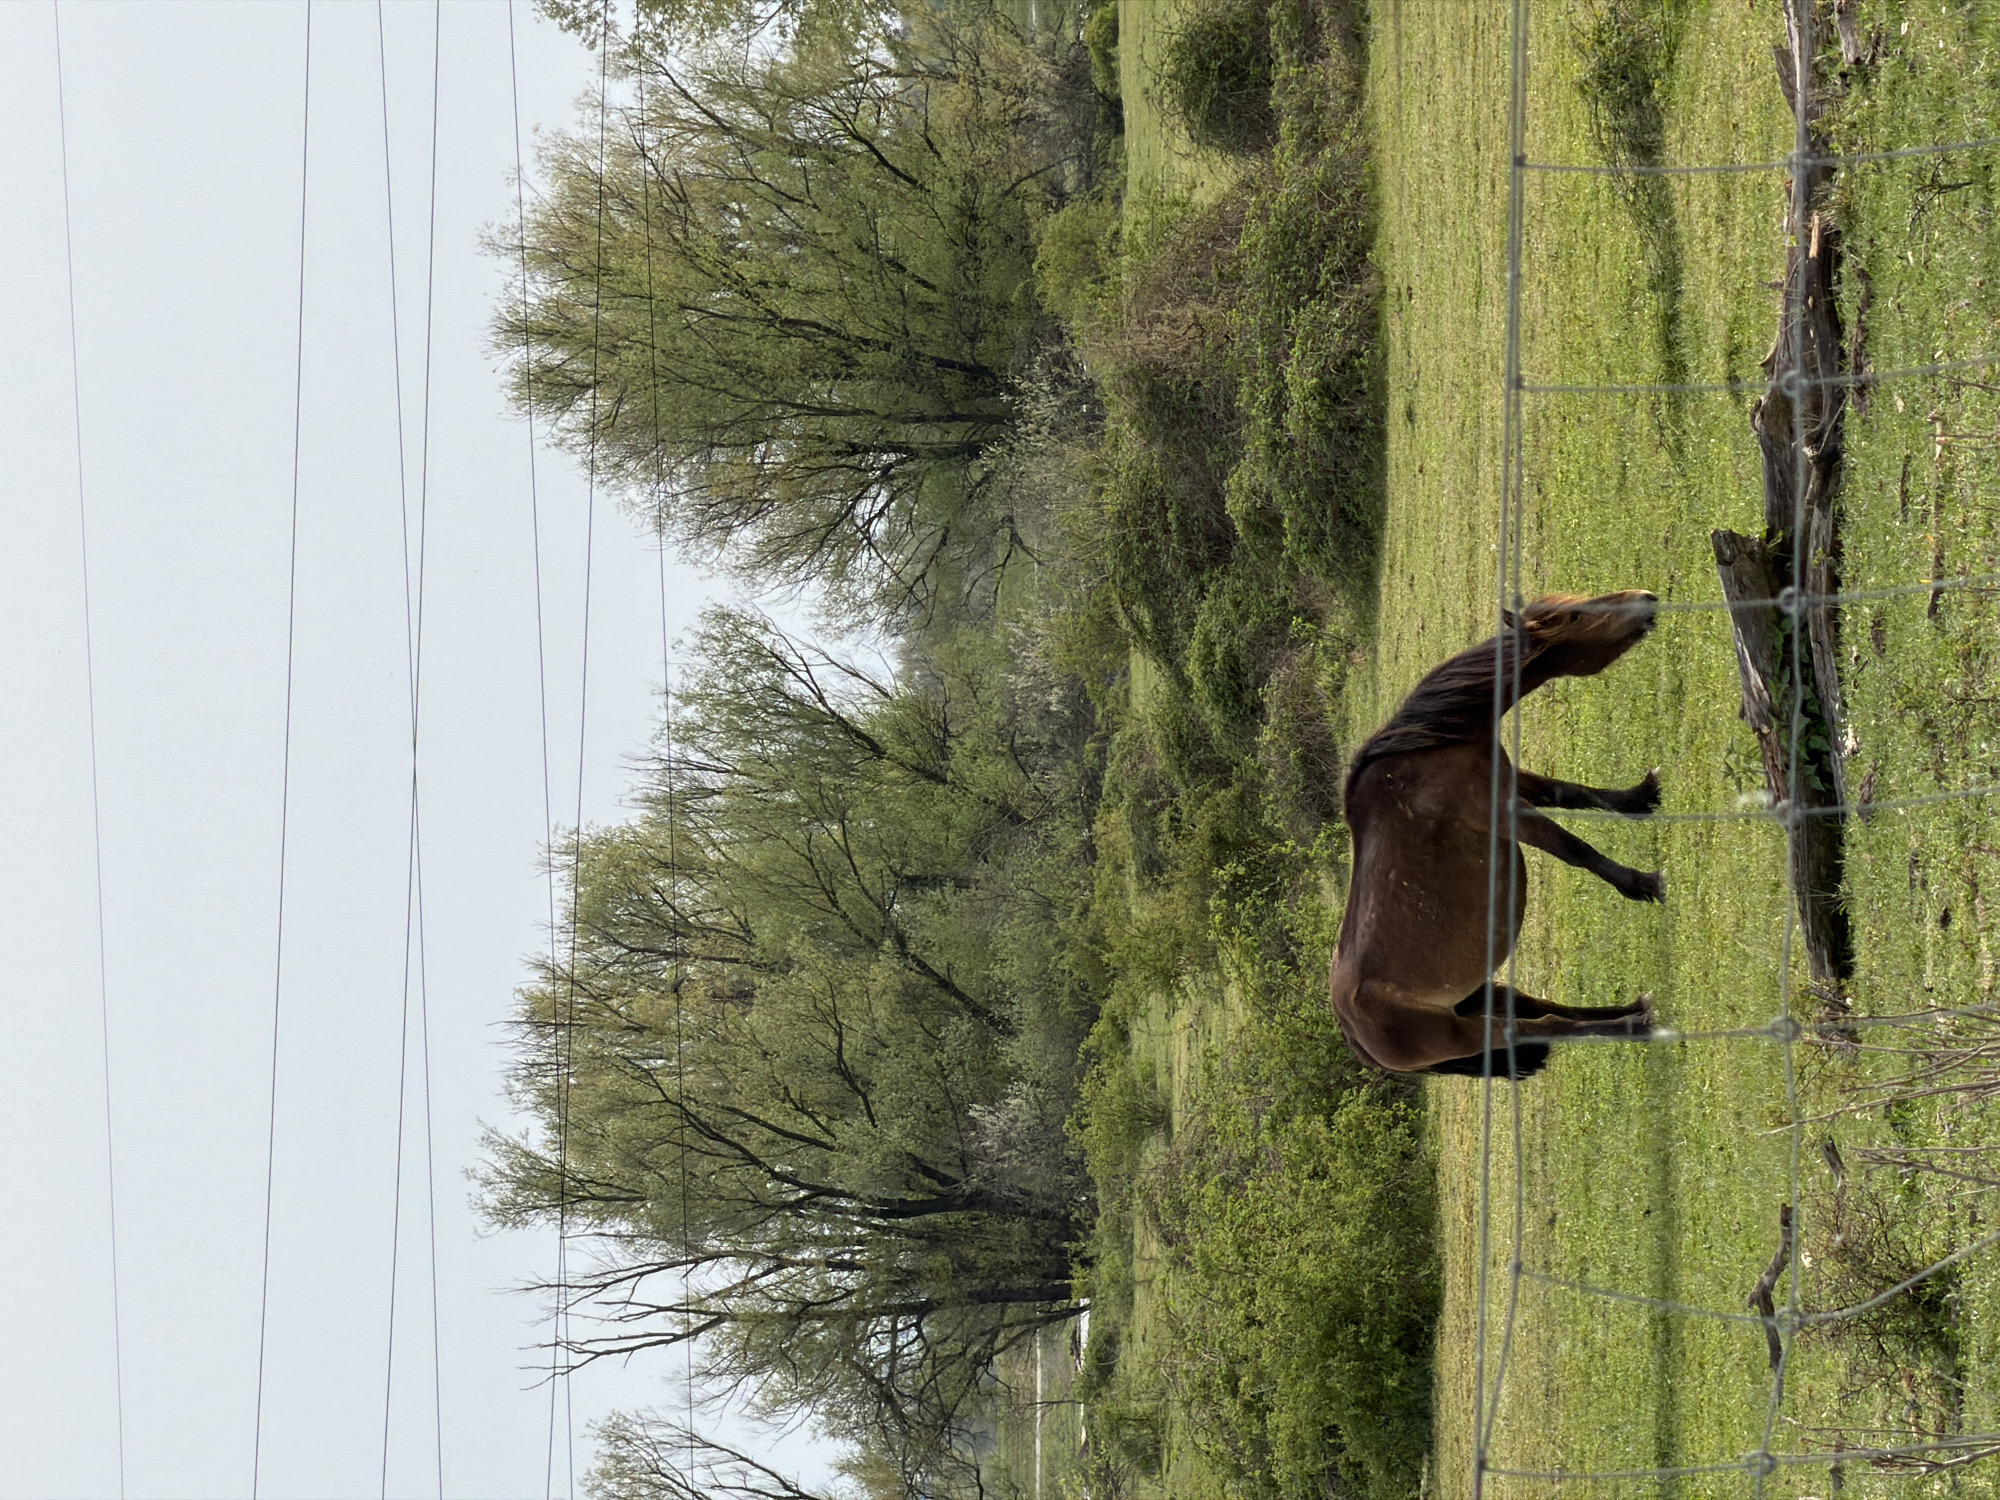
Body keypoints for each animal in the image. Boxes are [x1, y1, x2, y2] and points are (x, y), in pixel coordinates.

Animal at [1329, 591, 1664, 1079]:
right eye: (1576, 615)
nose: (1645, 600)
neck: (1434, 746)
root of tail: (1357, 1038)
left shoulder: (1513, 780)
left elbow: (1575, 794)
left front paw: (1641, 796)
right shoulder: (1502, 813)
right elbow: (1575, 849)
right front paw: (1643, 884)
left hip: (1478, 995)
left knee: (1539, 1007)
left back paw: (1634, 1010)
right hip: (1468, 1031)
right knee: (1541, 1025)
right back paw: (1633, 1024)